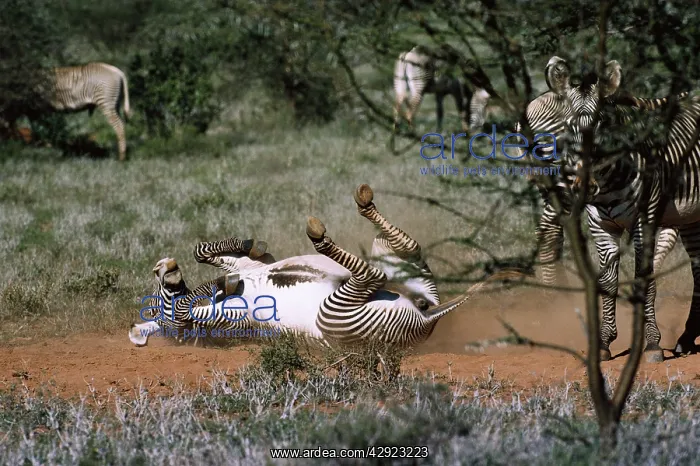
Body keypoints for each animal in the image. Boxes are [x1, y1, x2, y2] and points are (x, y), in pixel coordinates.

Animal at [130, 184, 512, 348]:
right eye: (159, 298)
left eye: (156, 279)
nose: (162, 264)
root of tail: (428, 314)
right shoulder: (226, 319)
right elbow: (185, 308)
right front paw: (218, 287)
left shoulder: (251, 264)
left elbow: (203, 251)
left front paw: (244, 250)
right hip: (336, 314)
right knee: (374, 274)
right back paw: (321, 235)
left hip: (394, 261)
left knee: (407, 248)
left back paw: (362, 203)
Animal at [543, 55, 700, 362]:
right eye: (568, 127)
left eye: (603, 124)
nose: (583, 184)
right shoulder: (601, 228)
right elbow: (607, 283)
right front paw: (604, 343)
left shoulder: (645, 222)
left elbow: (644, 280)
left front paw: (652, 344)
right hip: (690, 218)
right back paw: (687, 339)